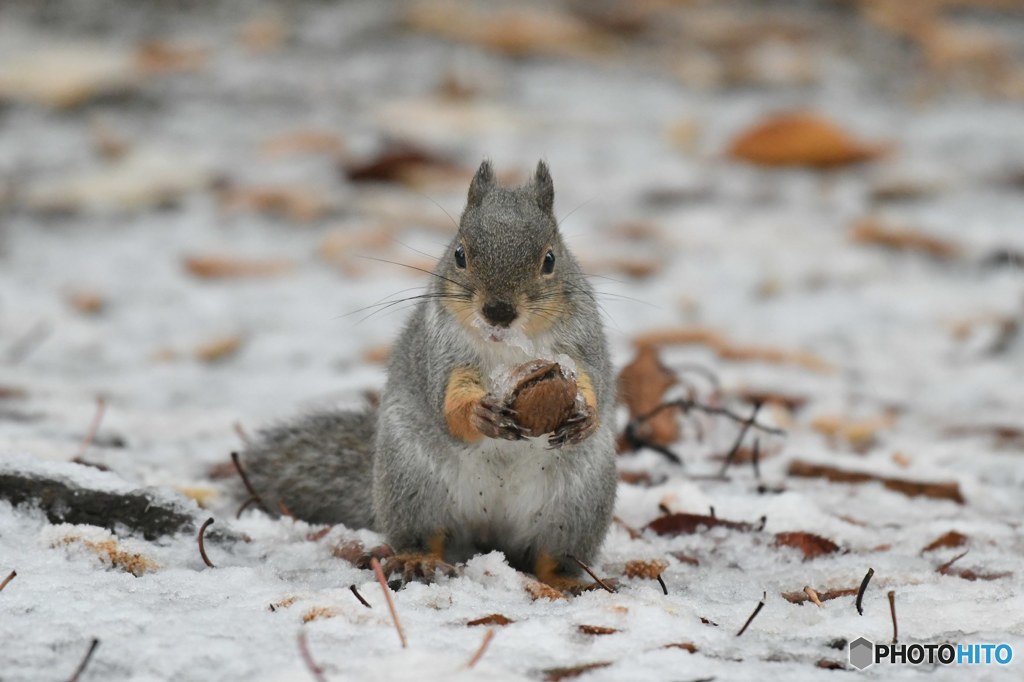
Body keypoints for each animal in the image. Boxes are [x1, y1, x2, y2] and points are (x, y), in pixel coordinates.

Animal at [239, 160, 614, 589]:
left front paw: (587, 417)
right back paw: (417, 560)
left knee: (551, 557)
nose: (498, 311)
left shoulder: (580, 347)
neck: (507, 347)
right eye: (459, 254)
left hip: (575, 508)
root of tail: (490, 532)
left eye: (550, 260)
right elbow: (448, 406)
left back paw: (566, 582)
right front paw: (480, 414)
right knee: (424, 535)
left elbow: (593, 381)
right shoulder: (441, 355)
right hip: (413, 484)